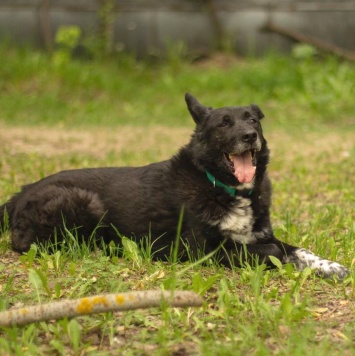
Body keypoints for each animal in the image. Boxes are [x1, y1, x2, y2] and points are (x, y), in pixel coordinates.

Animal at [0, 94, 350, 278]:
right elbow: (272, 252)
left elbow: (299, 250)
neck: (218, 185)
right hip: (87, 203)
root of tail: (19, 194)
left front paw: (330, 266)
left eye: (252, 120)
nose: (250, 136)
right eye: (224, 124)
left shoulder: (261, 234)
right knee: (28, 242)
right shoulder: (204, 250)